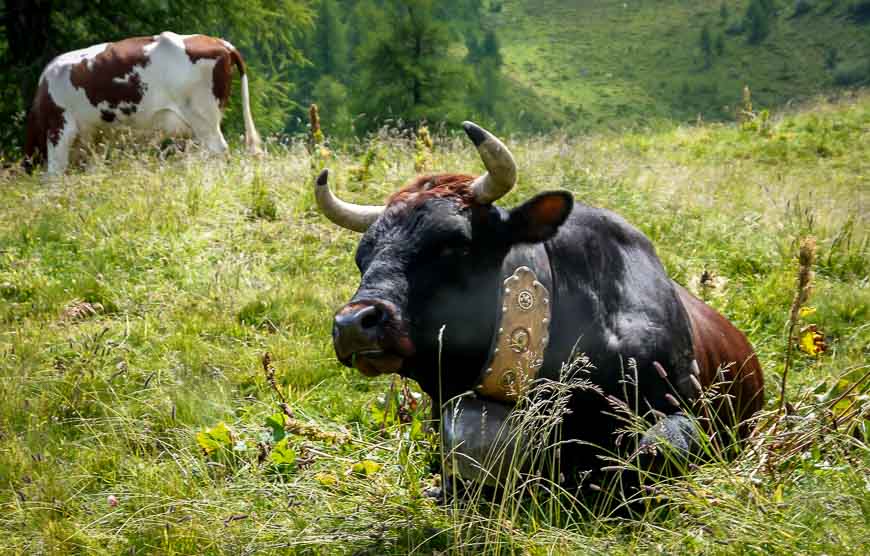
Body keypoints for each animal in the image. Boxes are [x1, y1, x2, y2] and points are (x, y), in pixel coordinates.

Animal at [23, 31, 260, 174]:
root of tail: (220, 42)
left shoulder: (59, 128)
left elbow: (54, 173)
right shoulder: (93, 140)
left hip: (203, 117)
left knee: (217, 150)